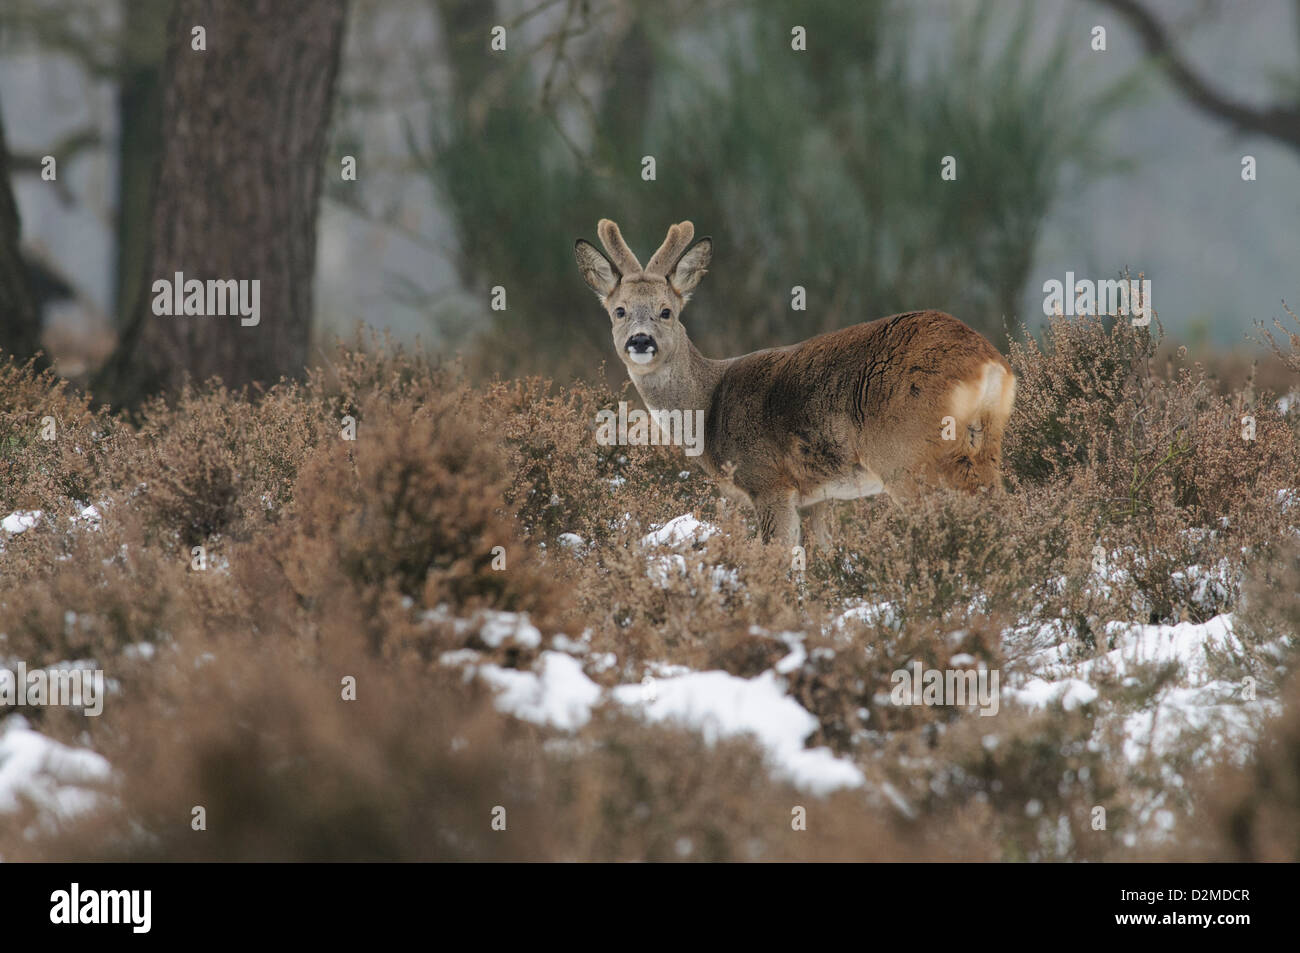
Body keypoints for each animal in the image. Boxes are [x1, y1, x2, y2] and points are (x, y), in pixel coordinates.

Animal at [574, 219, 1016, 548]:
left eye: (667, 311)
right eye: (619, 311)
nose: (640, 340)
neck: (708, 406)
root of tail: (988, 363)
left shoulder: (768, 481)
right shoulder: (816, 497)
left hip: (907, 455)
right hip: (983, 446)